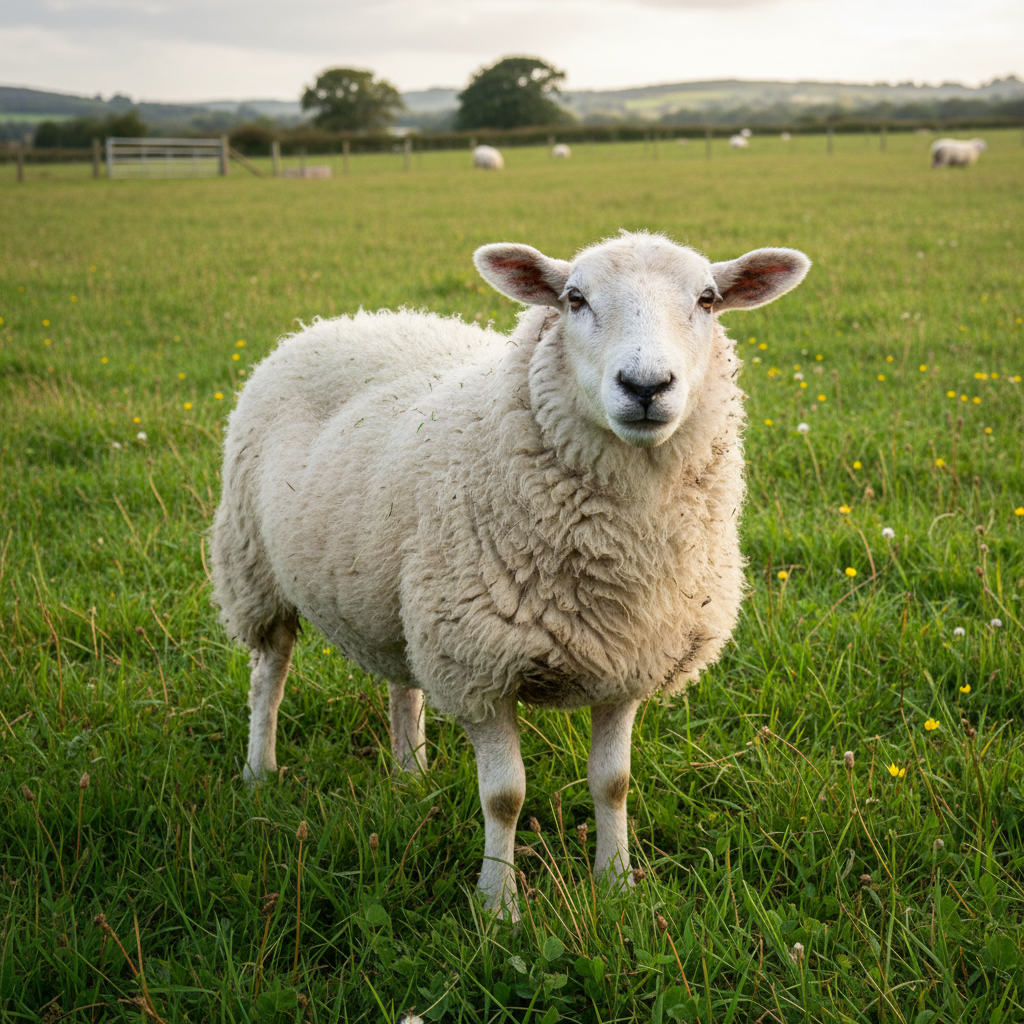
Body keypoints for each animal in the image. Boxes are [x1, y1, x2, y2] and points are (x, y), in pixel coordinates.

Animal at [211, 231, 810, 919]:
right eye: (574, 299)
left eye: (708, 300)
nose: (645, 385)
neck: (620, 552)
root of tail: (344, 320)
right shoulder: (479, 665)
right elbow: (505, 797)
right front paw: (499, 906)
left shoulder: (629, 657)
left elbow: (613, 783)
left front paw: (616, 884)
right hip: (253, 567)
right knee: (269, 676)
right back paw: (259, 771)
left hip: (401, 598)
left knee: (402, 683)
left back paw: (410, 774)